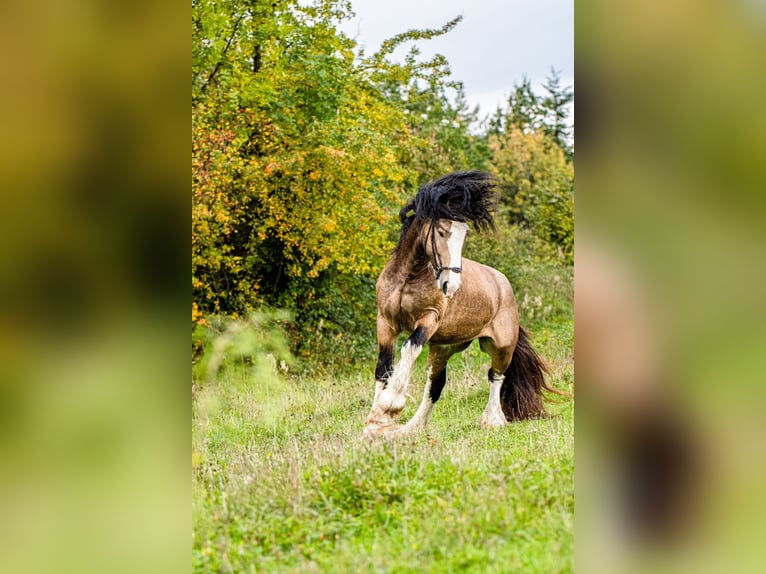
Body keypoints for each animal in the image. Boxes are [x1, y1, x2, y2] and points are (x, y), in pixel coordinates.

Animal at [364, 171, 560, 440]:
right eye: (441, 231)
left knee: (496, 375)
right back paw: (412, 428)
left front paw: (390, 406)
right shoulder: (386, 322)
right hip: (443, 348)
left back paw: (492, 420)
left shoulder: (428, 320)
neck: (408, 277)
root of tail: (503, 284)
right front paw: (375, 422)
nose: (452, 285)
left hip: (501, 346)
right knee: (435, 385)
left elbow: (409, 348)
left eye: (465, 233)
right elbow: (383, 369)